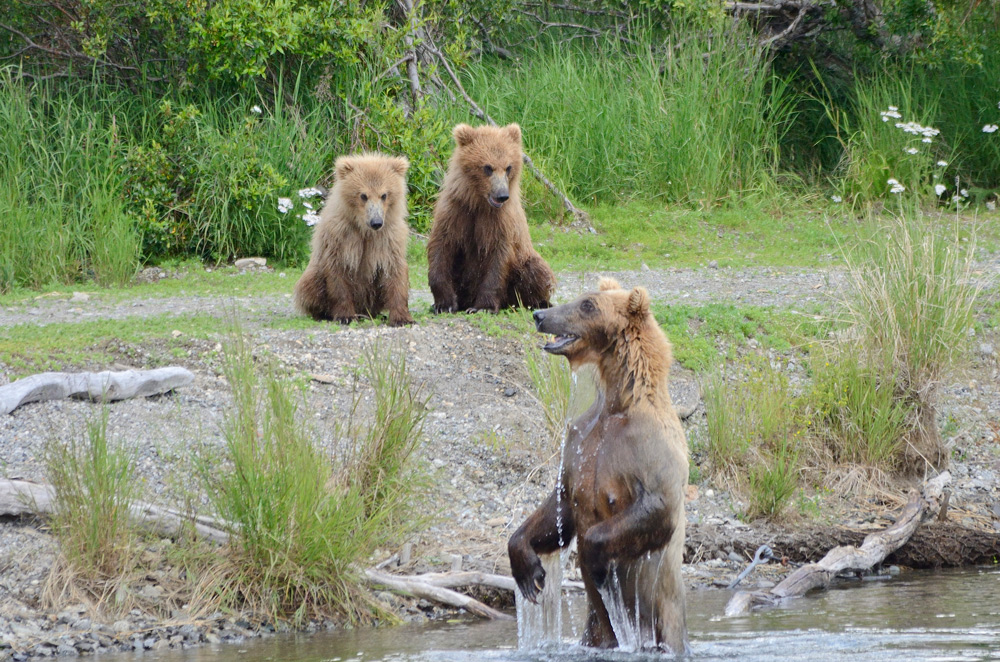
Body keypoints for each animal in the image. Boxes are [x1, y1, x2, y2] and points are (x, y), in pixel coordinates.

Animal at [292, 151, 414, 326]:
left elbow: (394, 272)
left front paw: (402, 318)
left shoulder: (388, 238)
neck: (364, 230)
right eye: (363, 195)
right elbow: (338, 275)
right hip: (314, 273)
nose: (376, 222)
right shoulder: (340, 237)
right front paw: (345, 316)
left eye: (384, 194)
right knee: (310, 284)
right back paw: (323, 314)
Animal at [426, 125, 560, 316]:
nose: (502, 195)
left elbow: (498, 259)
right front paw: (443, 304)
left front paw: (483, 307)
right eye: (487, 167)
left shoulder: (501, 222)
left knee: (536, 271)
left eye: (508, 167)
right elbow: (441, 247)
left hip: (525, 260)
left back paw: (538, 302)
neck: (478, 203)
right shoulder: (455, 212)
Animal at [508, 278, 688, 652]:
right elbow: (561, 505)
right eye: (581, 298)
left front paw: (594, 562)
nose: (540, 314)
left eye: (587, 305)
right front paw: (529, 570)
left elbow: (658, 507)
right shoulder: (580, 440)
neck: (617, 403)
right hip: (594, 630)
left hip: (663, 618)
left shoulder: (649, 447)